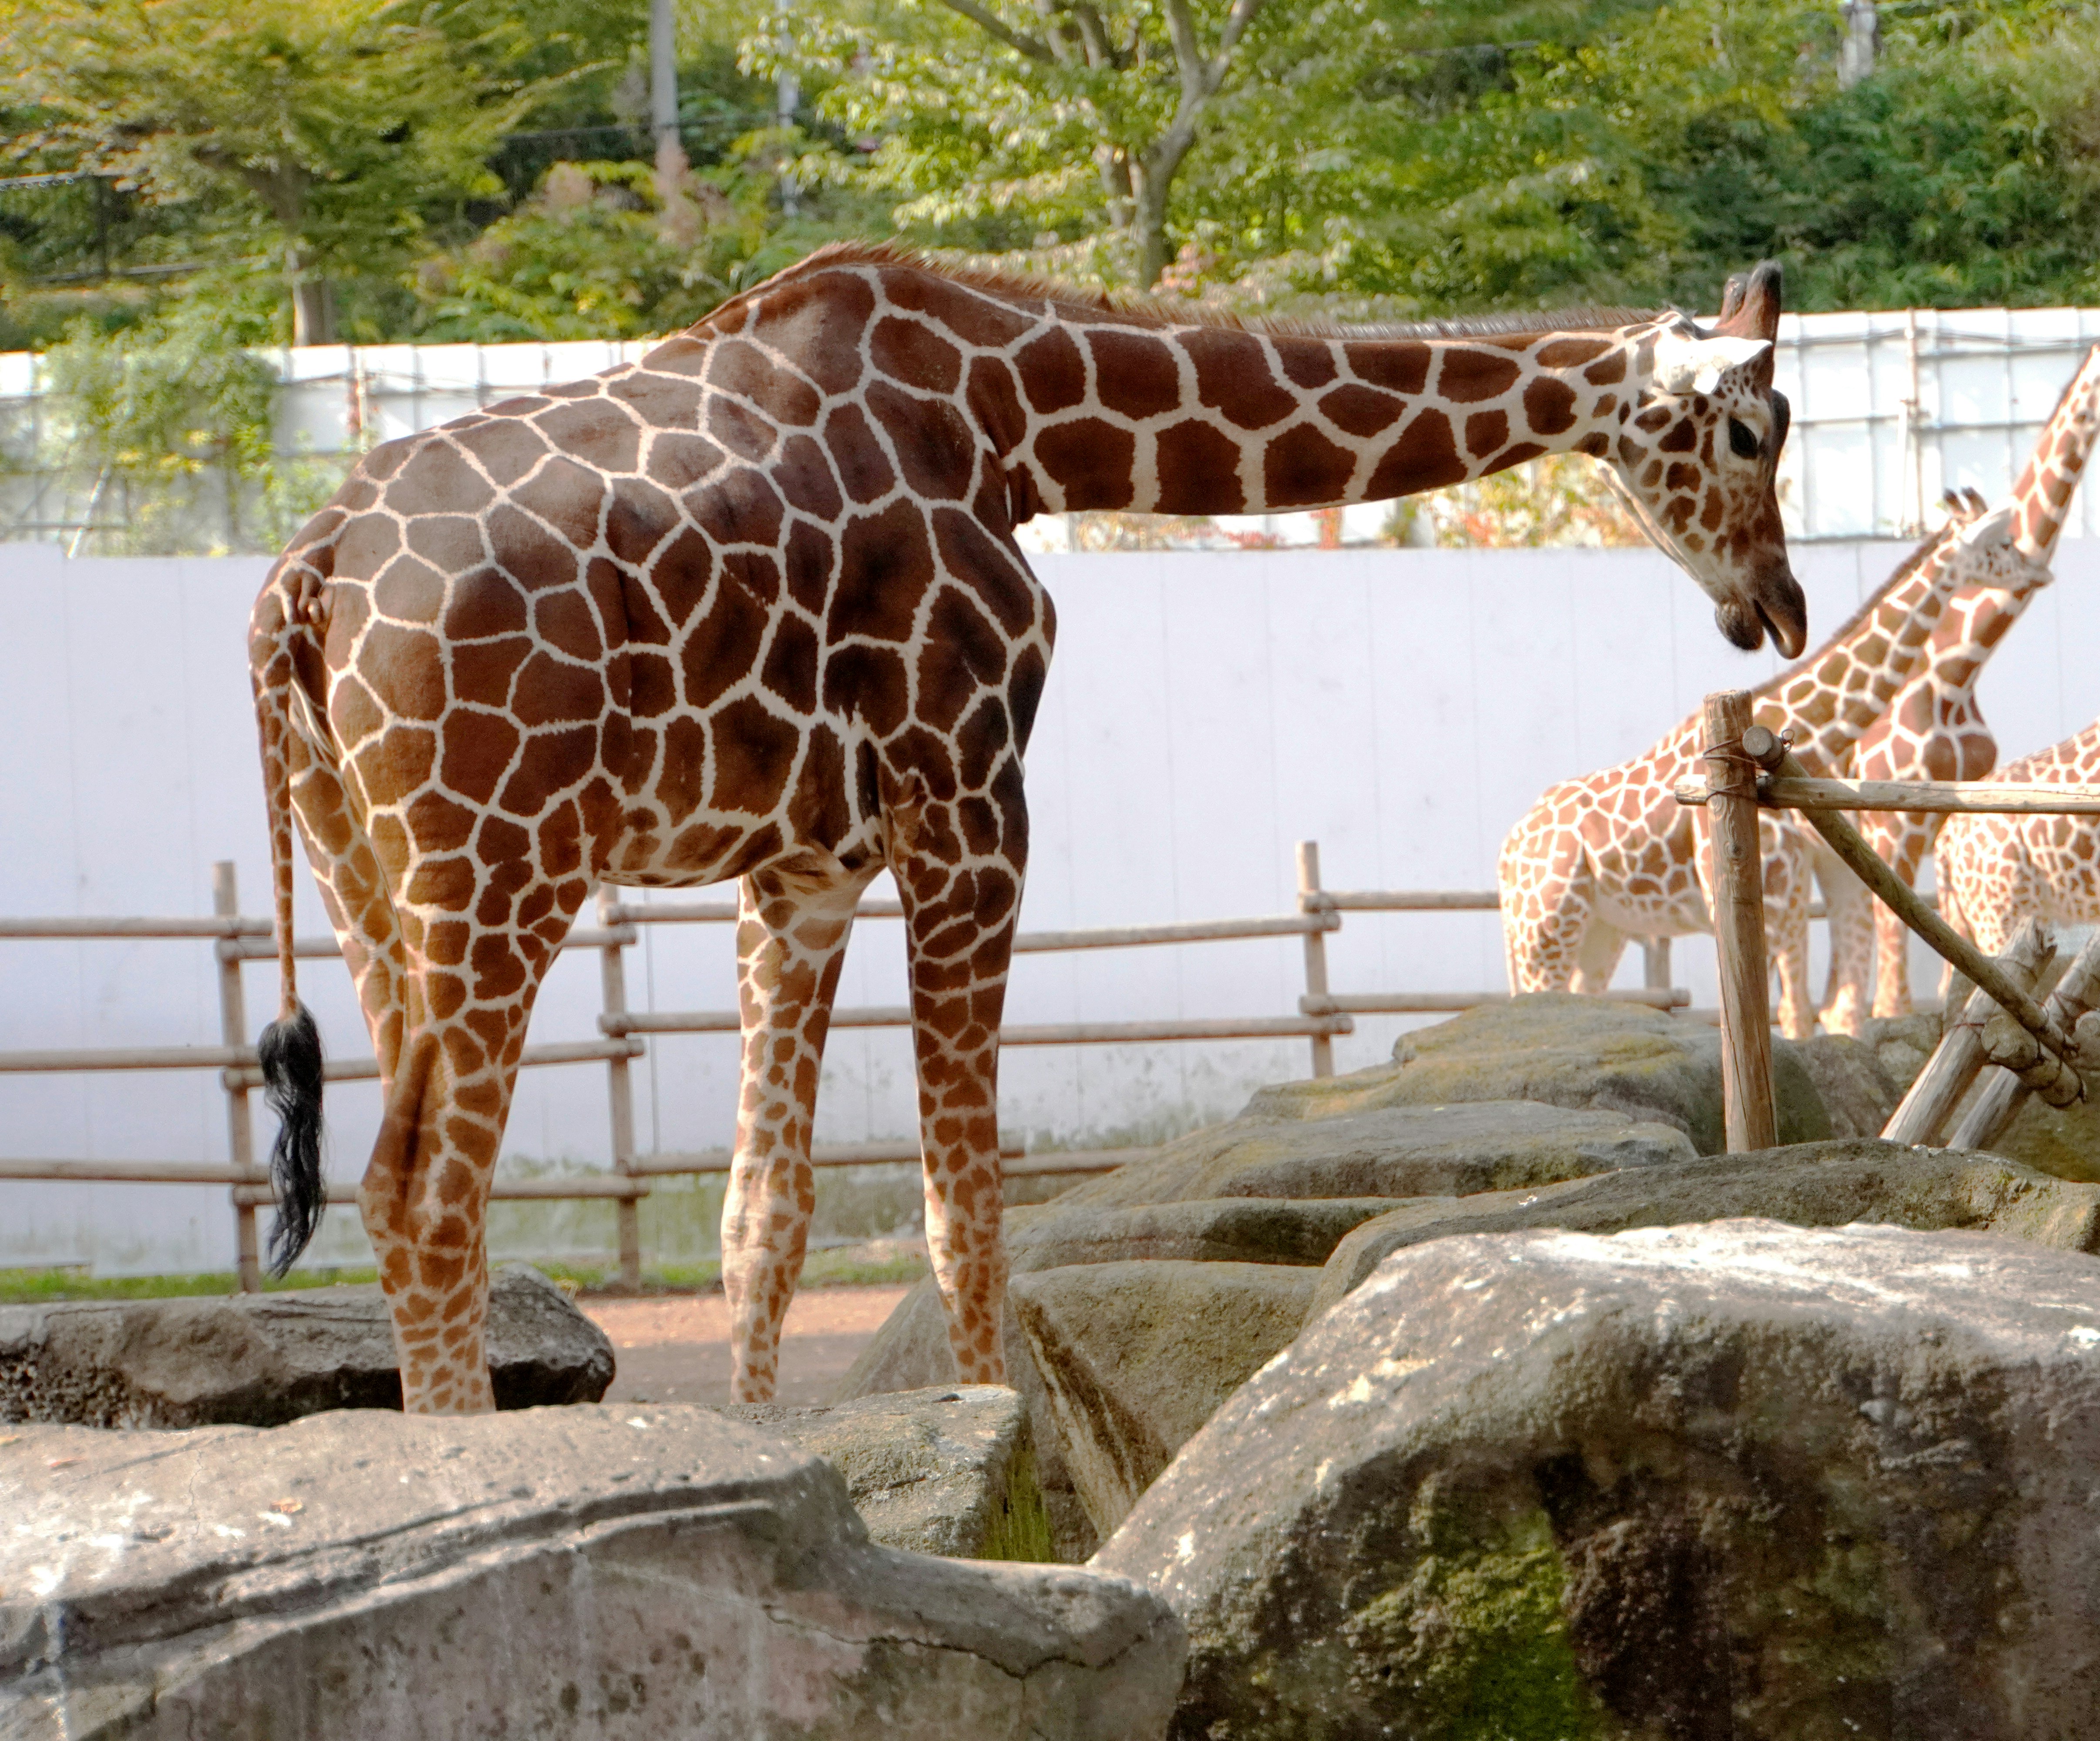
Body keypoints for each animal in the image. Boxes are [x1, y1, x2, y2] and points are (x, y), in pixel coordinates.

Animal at [247, 243, 1803, 1413]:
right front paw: (1007, 1471)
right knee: (423, 1194)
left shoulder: (806, 866)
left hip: (366, 880)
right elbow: (970, 1209)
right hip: (497, 867)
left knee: (412, 1194)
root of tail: (301, 578)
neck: (1020, 419)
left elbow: (769, 1217)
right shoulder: (971, 794)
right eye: (1749, 429)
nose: (1778, 609)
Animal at [1498, 492, 2032, 1038]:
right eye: (2002, 544)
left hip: (1601, 930)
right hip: (1544, 928)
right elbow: (1772, 1014)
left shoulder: (1790, 900)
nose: (2039, 571)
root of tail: (1509, 851)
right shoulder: (1754, 900)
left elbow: (1798, 1014)